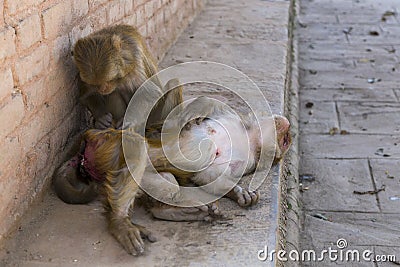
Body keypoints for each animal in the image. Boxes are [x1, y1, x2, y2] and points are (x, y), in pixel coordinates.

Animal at [54, 96, 290, 255]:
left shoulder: (244, 162)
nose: (288, 132)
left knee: (164, 177)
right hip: (108, 143)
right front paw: (186, 117)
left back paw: (168, 211)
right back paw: (119, 221)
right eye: (287, 137)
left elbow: (209, 177)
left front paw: (239, 192)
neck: (249, 139)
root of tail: (88, 142)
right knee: (137, 146)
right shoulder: (230, 116)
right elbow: (204, 105)